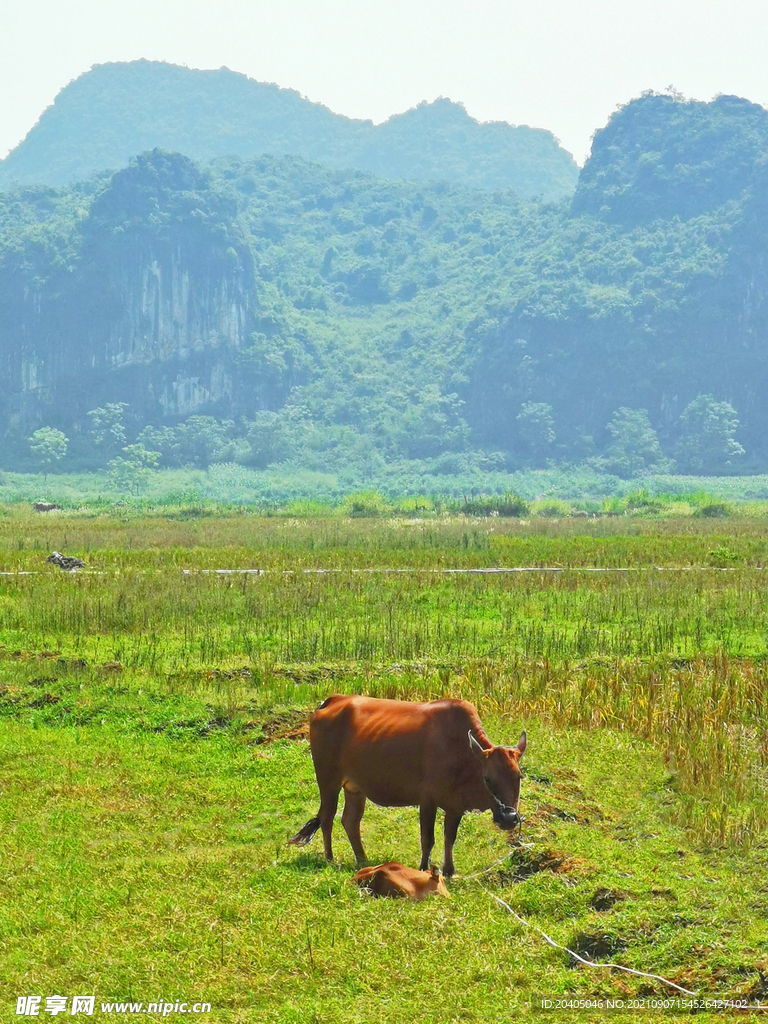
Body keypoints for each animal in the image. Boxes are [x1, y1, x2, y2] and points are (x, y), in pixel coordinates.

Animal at [288, 696, 528, 880]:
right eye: (488, 779)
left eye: (518, 777)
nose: (509, 817)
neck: (463, 754)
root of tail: (333, 700)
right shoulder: (428, 801)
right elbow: (427, 839)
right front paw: (423, 869)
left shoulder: (455, 806)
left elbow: (449, 838)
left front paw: (450, 871)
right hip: (328, 780)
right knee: (327, 817)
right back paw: (330, 858)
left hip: (355, 788)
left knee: (350, 821)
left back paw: (362, 859)